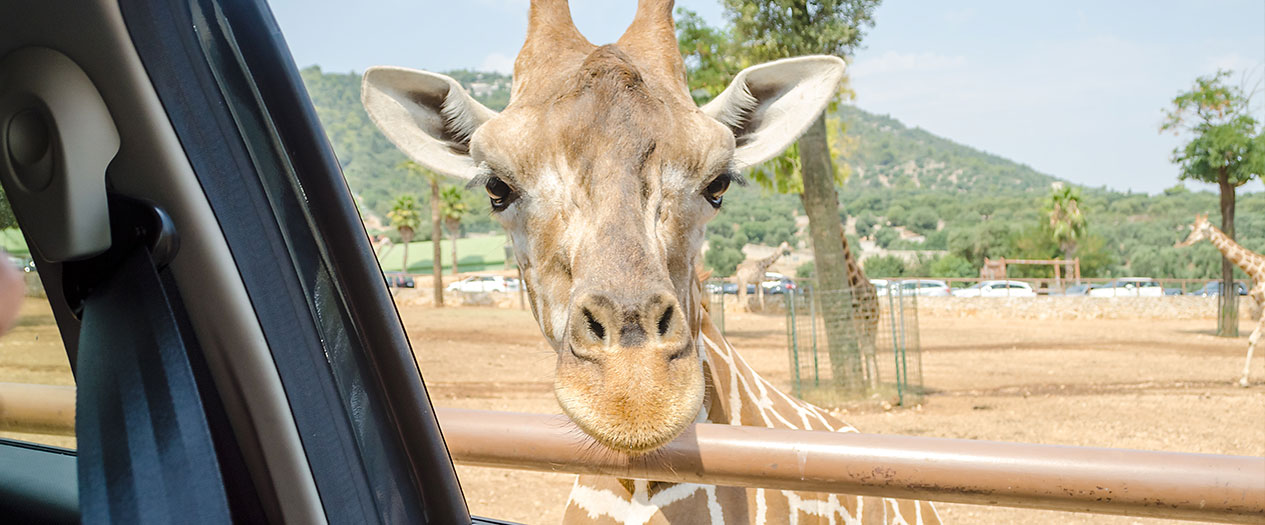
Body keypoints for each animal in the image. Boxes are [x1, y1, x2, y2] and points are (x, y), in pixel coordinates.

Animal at [1173, 211, 1265, 389]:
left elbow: (1253, 339)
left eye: (1203, 229)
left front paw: (1244, 380)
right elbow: (1254, 339)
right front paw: (1244, 379)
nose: (1188, 240)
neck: (1256, 271)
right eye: (1193, 228)